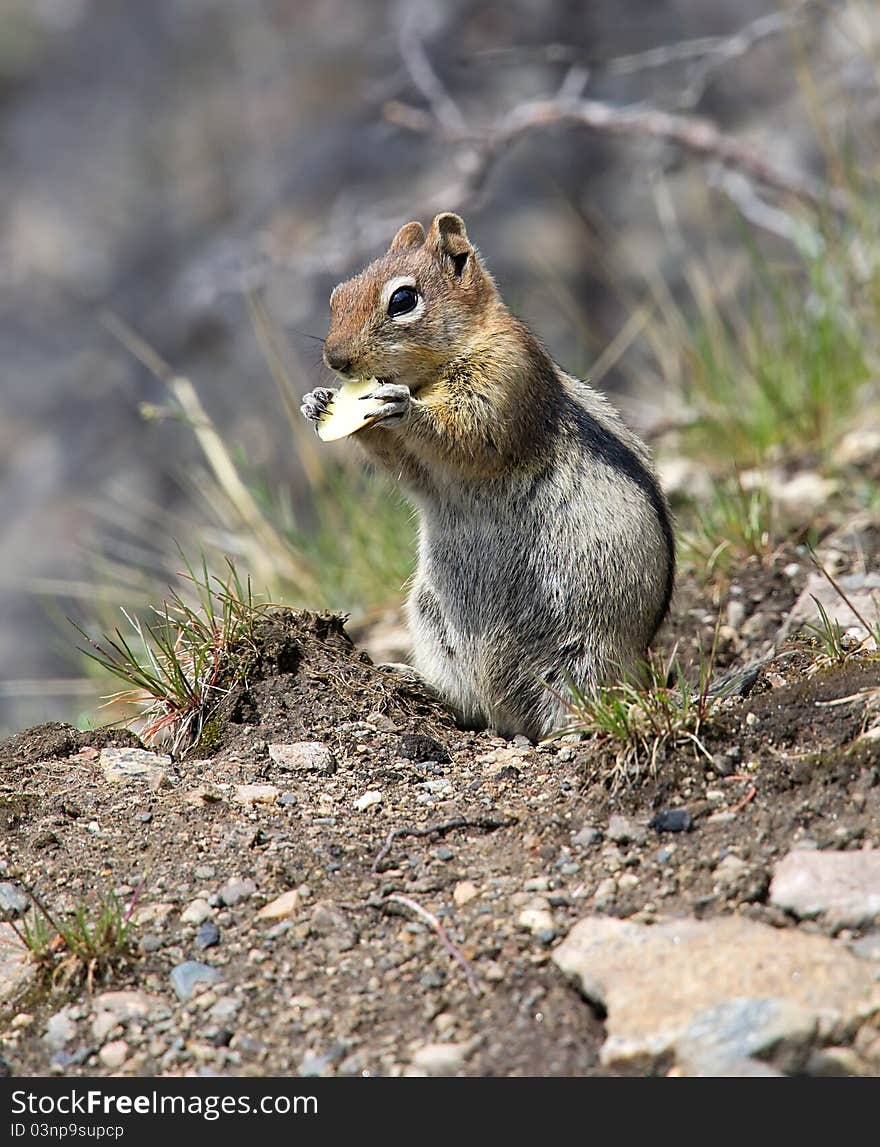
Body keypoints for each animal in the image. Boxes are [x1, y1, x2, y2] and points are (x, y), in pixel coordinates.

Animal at [300, 211, 674, 738]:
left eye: (402, 300)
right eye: (337, 295)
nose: (336, 359)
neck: (434, 372)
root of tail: (509, 720)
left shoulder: (506, 375)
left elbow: (471, 432)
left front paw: (401, 407)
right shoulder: (422, 470)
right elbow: (408, 469)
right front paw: (316, 402)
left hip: (588, 649)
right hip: (434, 624)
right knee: (467, 702)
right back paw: (410, 678)